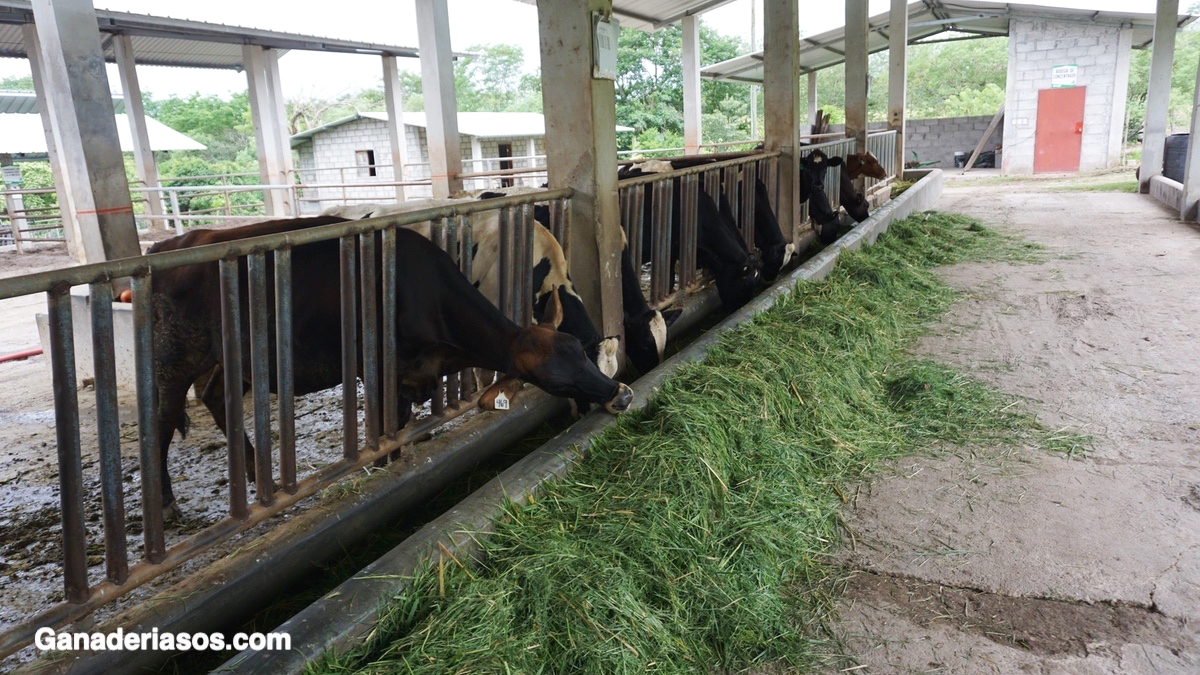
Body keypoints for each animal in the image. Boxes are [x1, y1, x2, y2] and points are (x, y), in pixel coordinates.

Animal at [148, 214, 633, 514]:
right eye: (558, 382)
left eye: (581, 354)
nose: (623, 395)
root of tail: (171, 244)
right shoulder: (380, 372)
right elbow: (386, 432)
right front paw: (385, 472)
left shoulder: (412, 378)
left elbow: (397, 430)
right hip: (174, 357)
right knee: (163, 420)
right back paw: (167, 503)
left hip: (231, 360)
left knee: (214, 396)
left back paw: (251, 469)